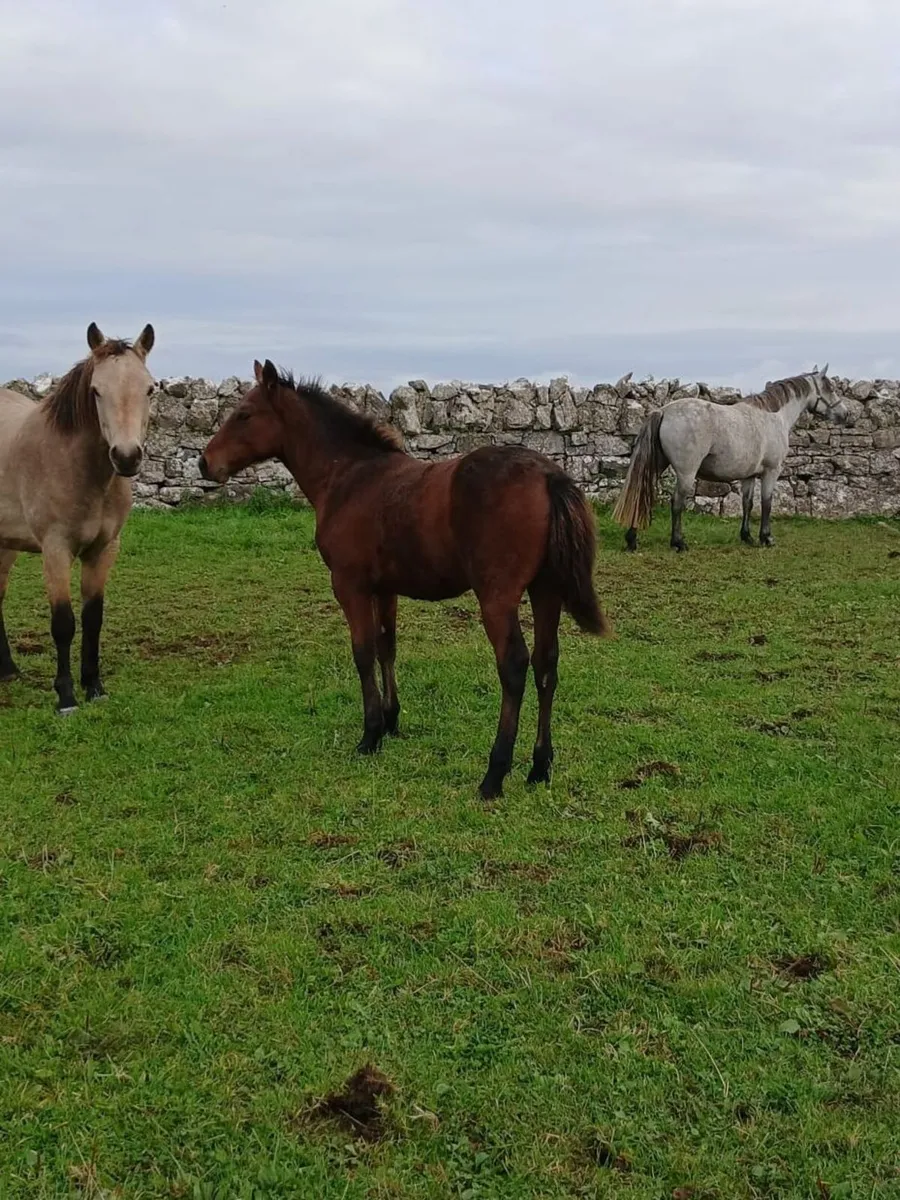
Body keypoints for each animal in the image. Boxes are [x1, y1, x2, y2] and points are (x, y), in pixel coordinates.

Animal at [0, 323, 156, 713]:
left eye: (150, 388)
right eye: (96, 391)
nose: (127, 457)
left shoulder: (103, 549)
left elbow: (93, 618)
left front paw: (94, 687)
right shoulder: (56, 550)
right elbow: (63, 623)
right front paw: (66, 697)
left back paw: (7, 670)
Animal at [199, 360, 609, 799]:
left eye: (244, 414)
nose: (205, 463)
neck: (348, 477)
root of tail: (548, 476)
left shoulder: (349, 585)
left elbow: (362, 652)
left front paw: (370, 735)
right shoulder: (384, 588)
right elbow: (386, 647)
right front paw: (392, 721)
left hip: (497, 597)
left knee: (514, 666)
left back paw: (494, 775)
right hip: (546, 589)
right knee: (546, 665)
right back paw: (539, 767)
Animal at [613, 367, 849, 551]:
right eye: (830, 388)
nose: (846, 415)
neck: (774, 416)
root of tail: (663, 411)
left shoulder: (749, 476)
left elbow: (748, 504)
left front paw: (747, 536)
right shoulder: (771, 472)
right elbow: (767, 503)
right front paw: (766, 538)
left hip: (658, 466)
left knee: (640, 493)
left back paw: (632, 540)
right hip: (687, 473)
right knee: (677, 502)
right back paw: (678, 543)